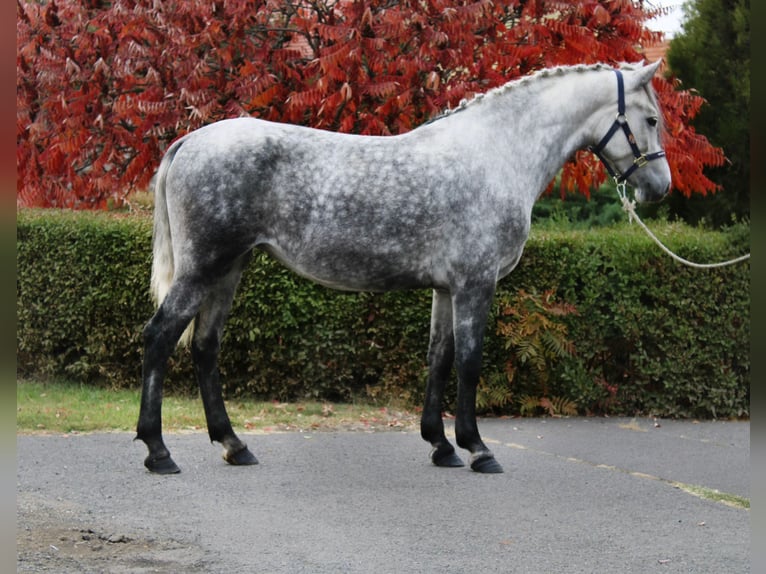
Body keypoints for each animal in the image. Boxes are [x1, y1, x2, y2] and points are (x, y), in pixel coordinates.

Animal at [136, 60, 671, 474]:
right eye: (650, 118)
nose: (660, 187)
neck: (496, 153)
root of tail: (191, 141)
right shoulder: (475, 284)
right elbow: (470, 362)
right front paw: (478, 449)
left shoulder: (446, 289)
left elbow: (439, 357)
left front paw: (440, 445)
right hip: (203, 269)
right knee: (160, 337)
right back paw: (159, 452)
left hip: (229, 270)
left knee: (204, 347)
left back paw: (234, 445)